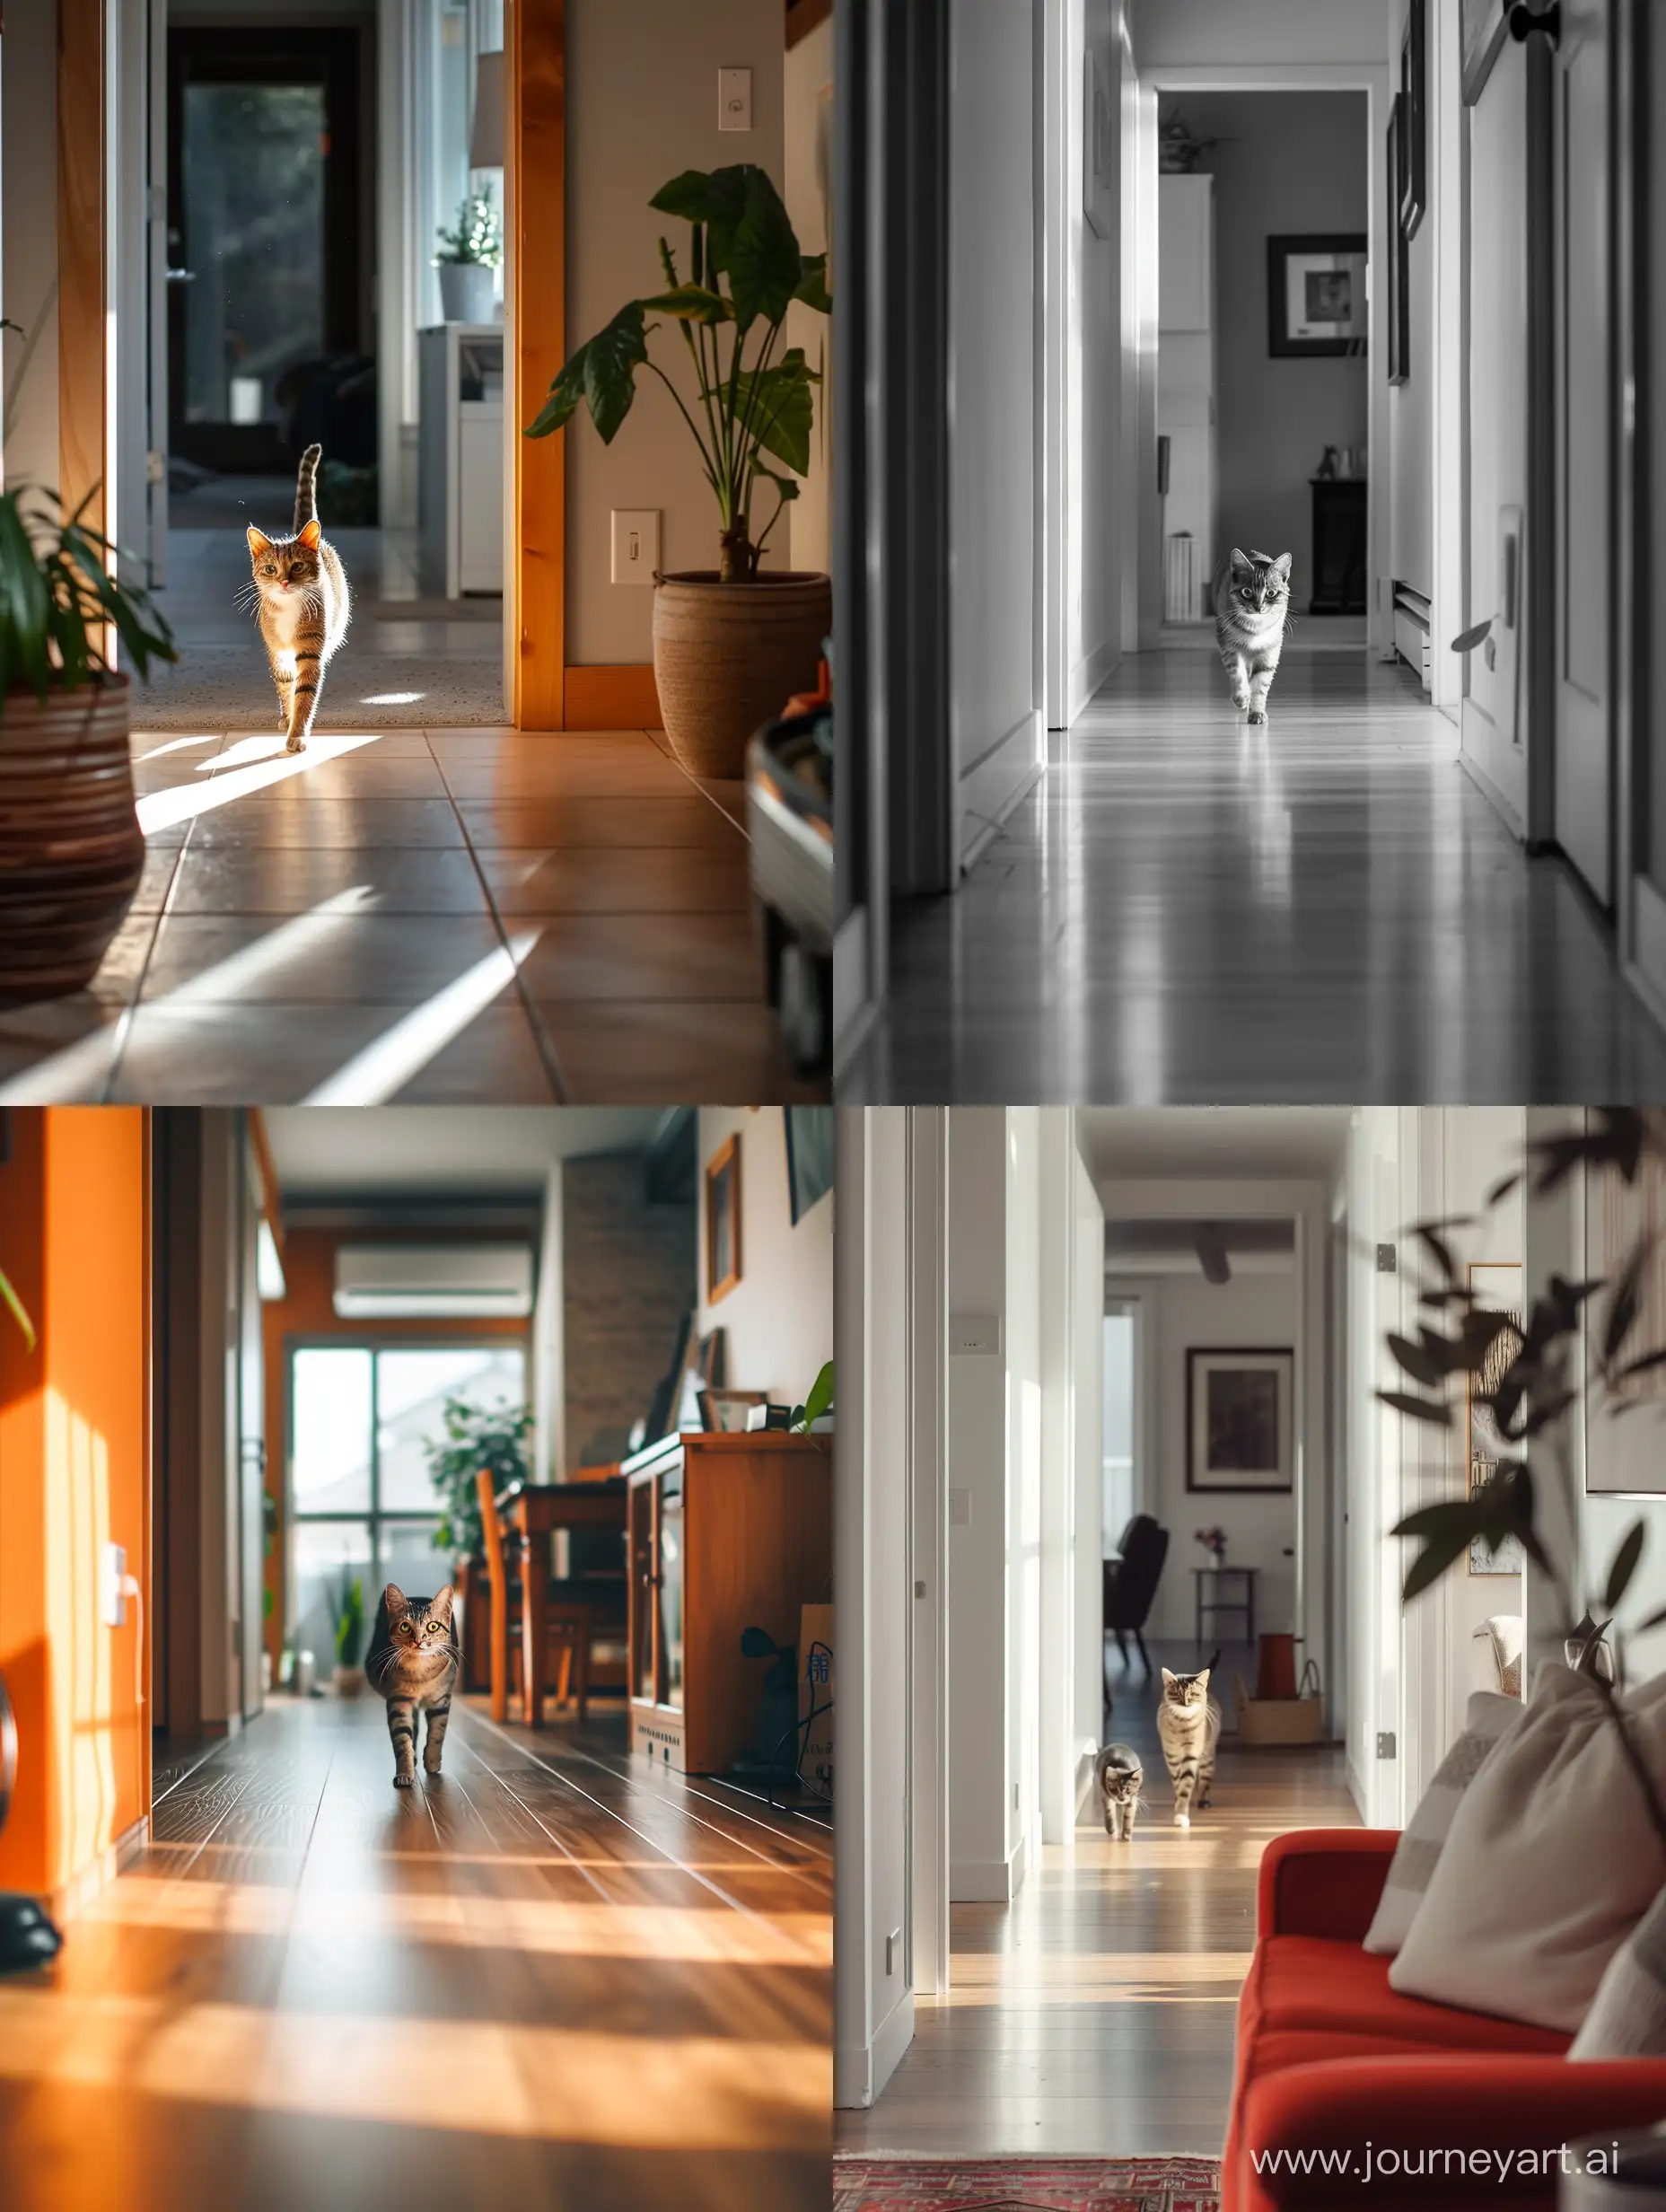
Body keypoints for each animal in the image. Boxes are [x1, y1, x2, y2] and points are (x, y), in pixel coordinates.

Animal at [243, 444, 351, 756]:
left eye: (298, 567)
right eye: (270, 569)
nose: (284, 581)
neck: (288, 609)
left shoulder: (311, 649)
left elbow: (305, 692)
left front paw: (298, 734)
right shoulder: (278, 652)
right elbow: (286, 685)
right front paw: (289, 718)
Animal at [364, 1584, 462, 1786]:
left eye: (432, 1626)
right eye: (405, 1626)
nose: (418, 1640)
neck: (420, 1675)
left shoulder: (441, 1700)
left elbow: (437, 1734)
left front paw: (432, 1762)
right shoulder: (398, 1701)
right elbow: (402, 1741)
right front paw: (405, 1772)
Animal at [1159, 1663, 1221, 1831]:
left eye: (1193, 1694)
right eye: (1176, 1694)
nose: (1185, 1703)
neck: (1182, 1724)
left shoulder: (1191, 1754)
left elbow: (1185, 1786)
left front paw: (1181, 1815)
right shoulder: (1171, 1757)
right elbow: (1177, 1783)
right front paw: (1178, 1805)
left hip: (1207, 1755)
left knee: (1205, 1779)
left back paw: (1203, 1801)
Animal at [1212, 549, 1292, 721]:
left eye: (1271, 593)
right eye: (1246, 592)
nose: (1258, 607)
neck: (1256, 625)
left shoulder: (1270, 650)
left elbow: (1260, 684)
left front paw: (1256, 712)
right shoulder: (1228, 646)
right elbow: (1237, 673)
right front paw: (1242, 698)